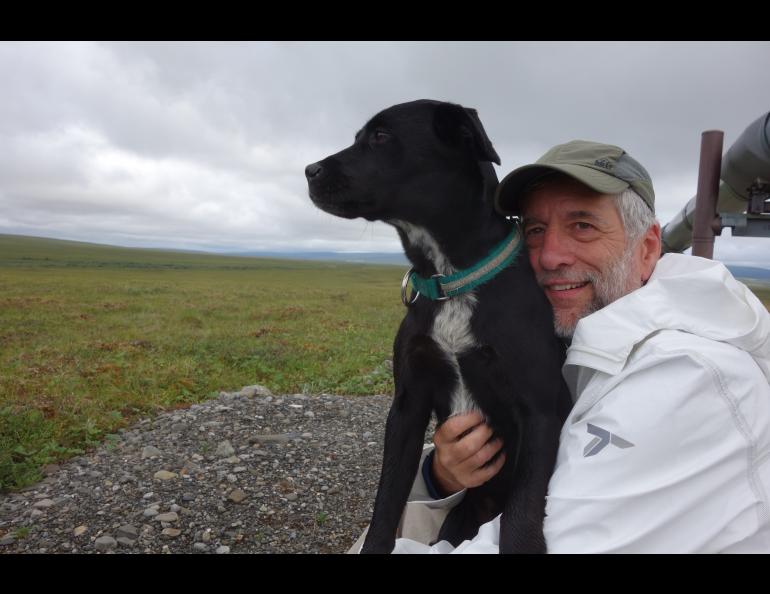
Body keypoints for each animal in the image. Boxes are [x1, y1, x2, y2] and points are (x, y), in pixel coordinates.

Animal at [304, 98, 568, 552]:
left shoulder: (540, 408)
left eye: (380, 136)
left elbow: (522, 511)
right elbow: (387, 499)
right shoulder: (407, 405)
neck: (450, 279)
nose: (308, 170)